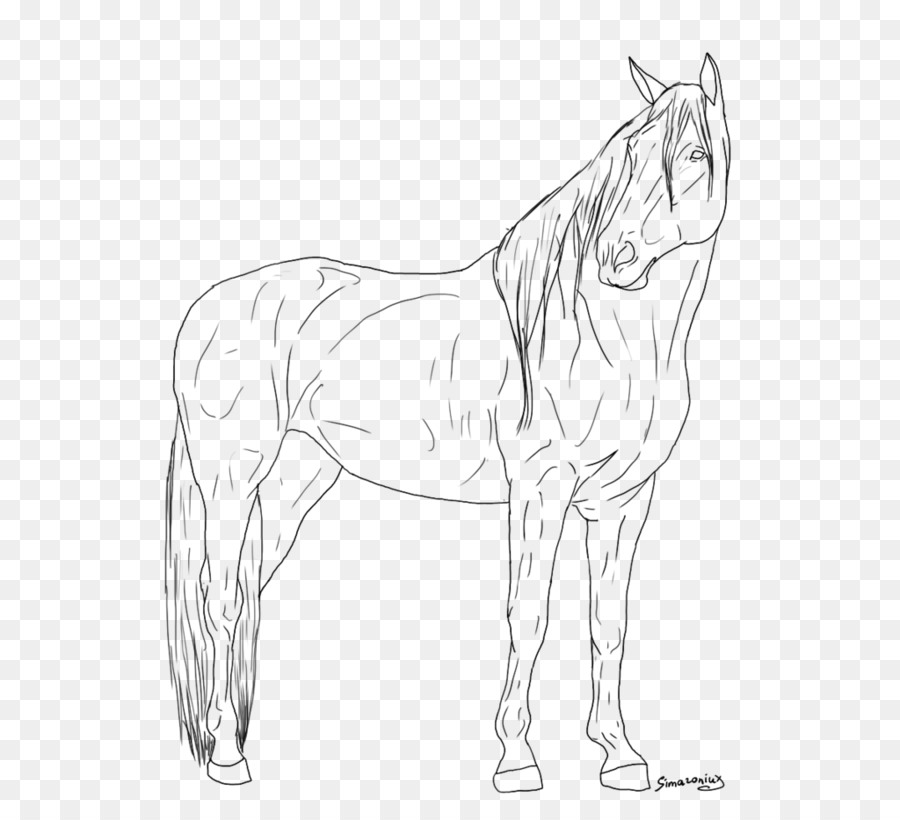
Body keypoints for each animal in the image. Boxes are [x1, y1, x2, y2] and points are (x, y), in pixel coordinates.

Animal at [165, 55, 731, 792]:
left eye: (694, 154)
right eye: (626, 155)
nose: (618, 256)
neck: (606, 336)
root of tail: (208, 308)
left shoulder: (623, 500)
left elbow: (609, 622)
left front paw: (620, 755)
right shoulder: (540, 489)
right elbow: (529, 615)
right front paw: (516, 760)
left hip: (296, 481)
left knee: (246, 589)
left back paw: (230, 740)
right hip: (230, 479)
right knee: (222, 599)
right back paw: (228, 760)